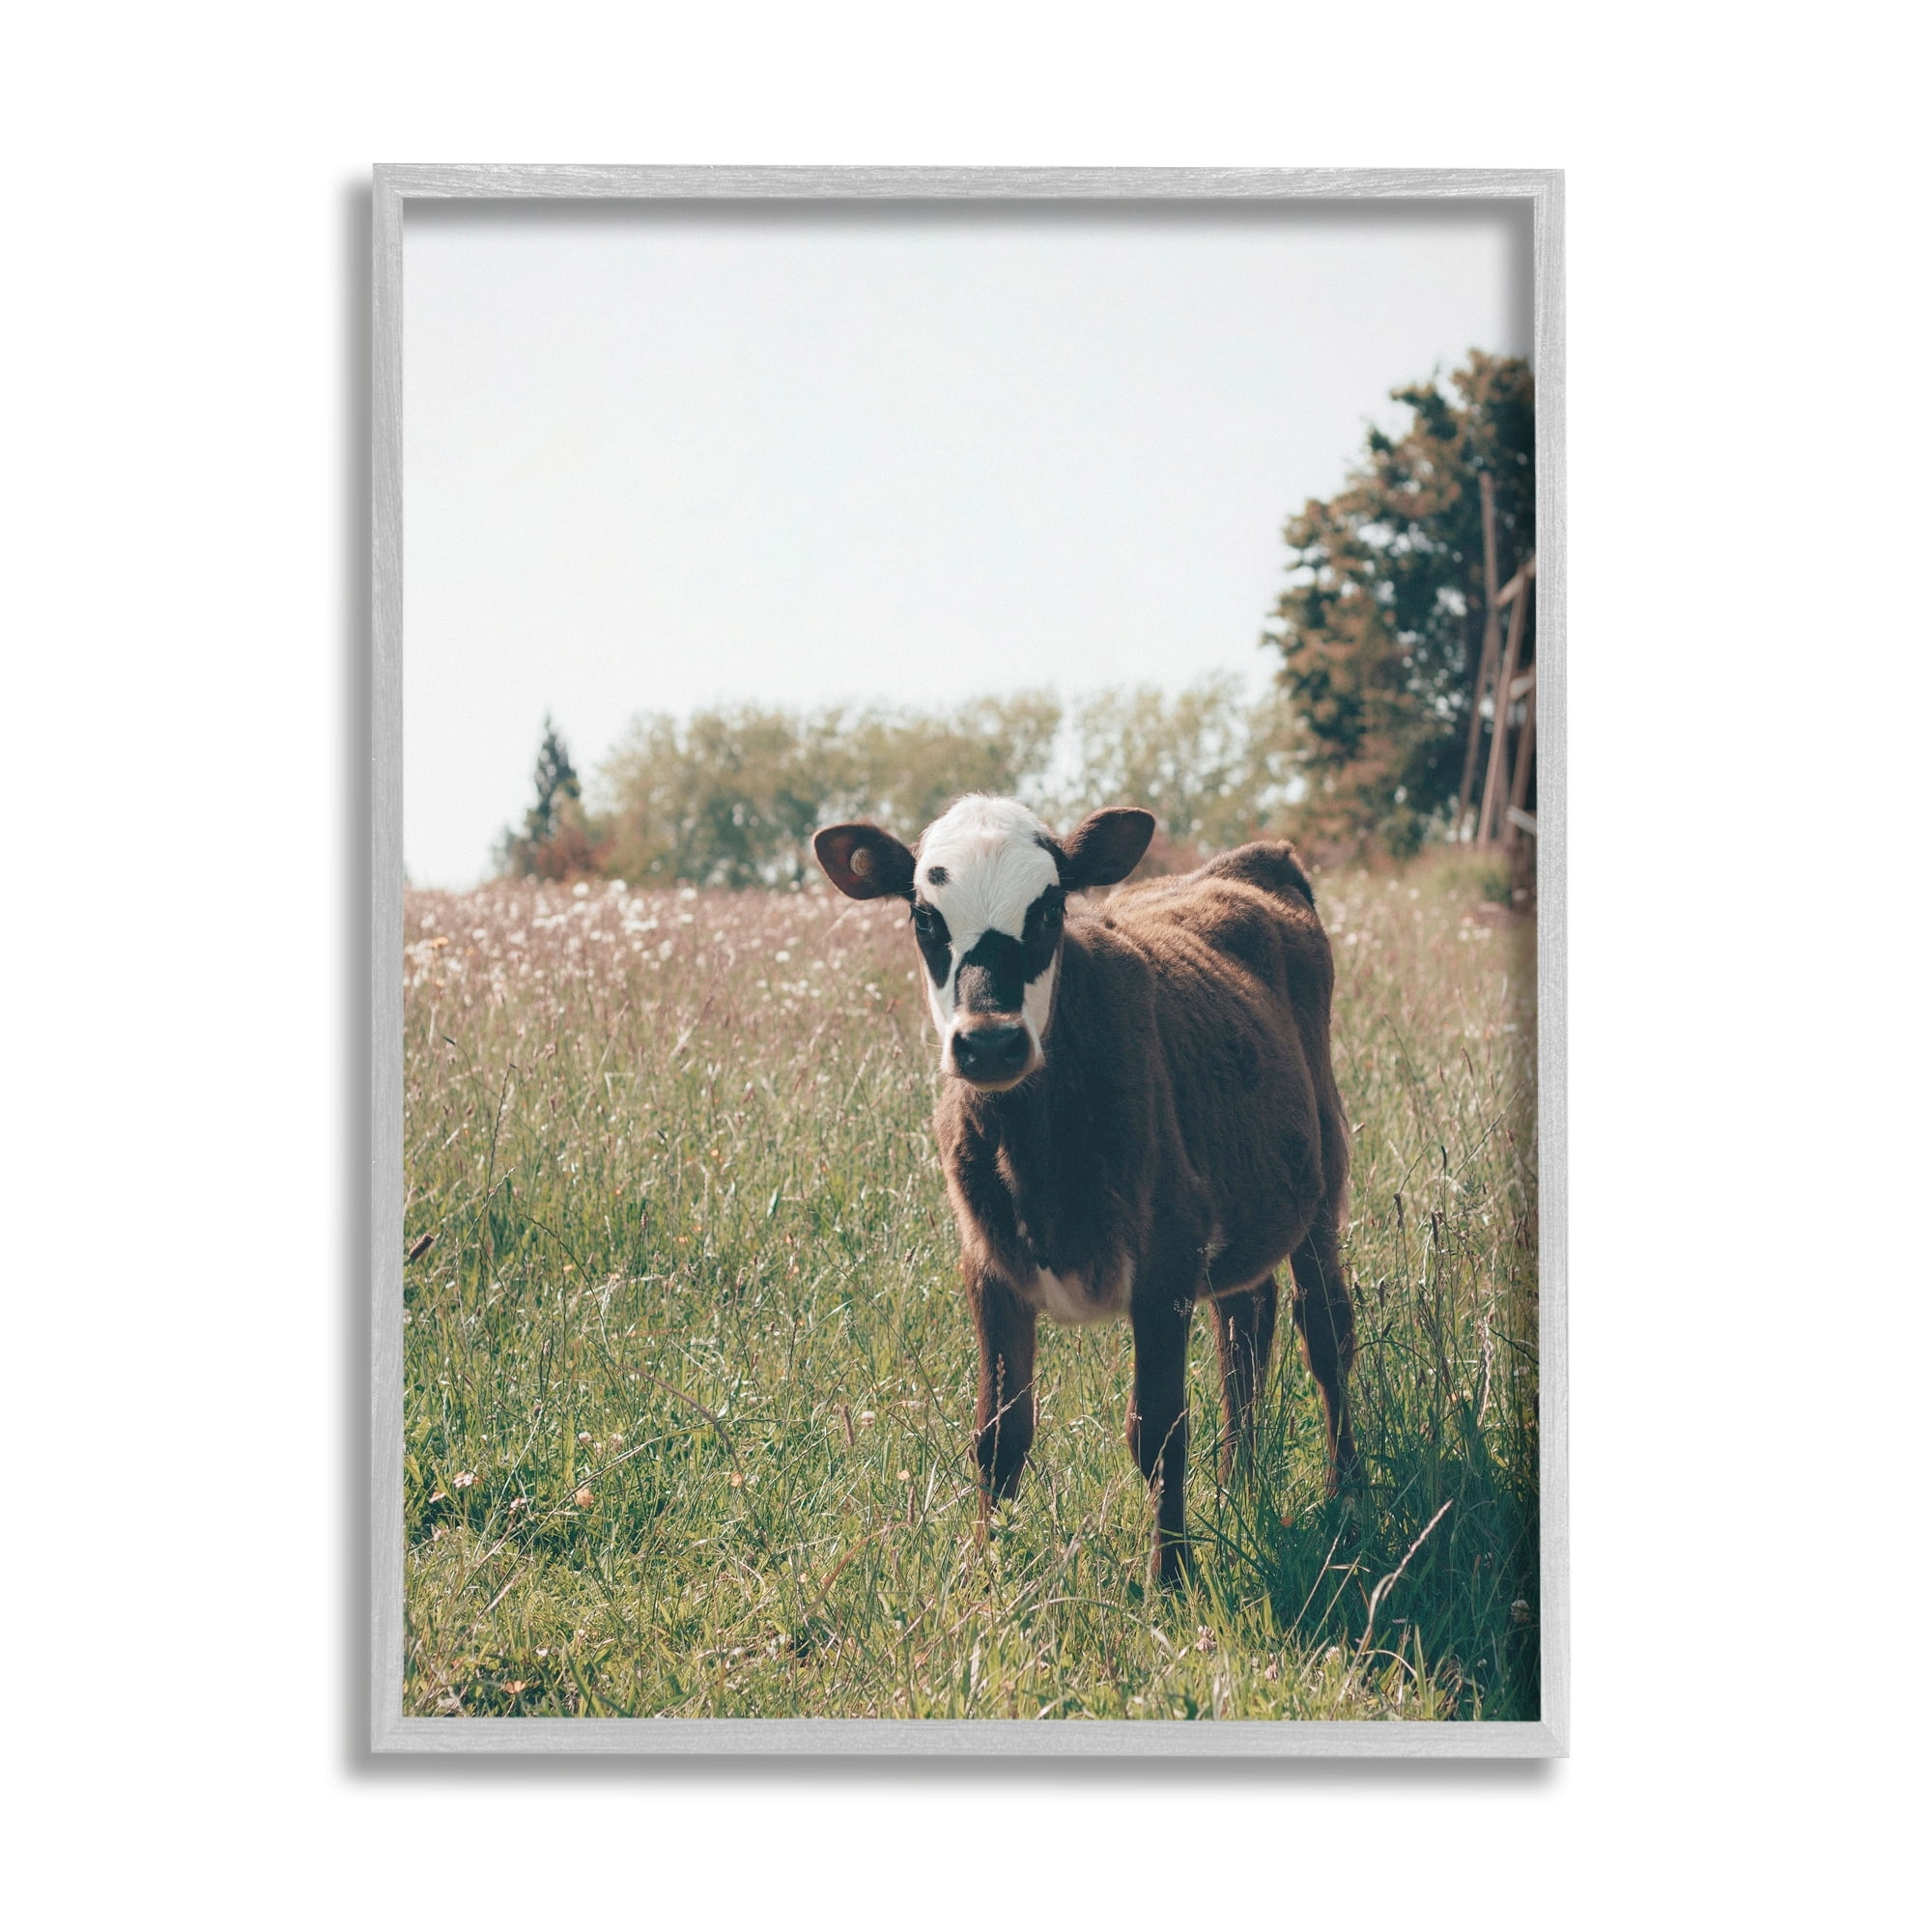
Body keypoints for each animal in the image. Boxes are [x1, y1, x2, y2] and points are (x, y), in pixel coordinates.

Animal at [813, 794, 1356, 1586]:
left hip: (1323, 1184)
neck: (1035, 1151)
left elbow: (1157, 1430)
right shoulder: (988, 1266)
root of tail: (1249, 862)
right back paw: (1238, 1485)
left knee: (1324, 1330)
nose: (989, 1043)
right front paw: (989, 1572)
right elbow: (998, 1435)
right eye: (924, 917)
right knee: (1245, 1327)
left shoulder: (1166, 1258)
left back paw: (1347, 1491)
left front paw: (1170, 1579)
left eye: (1048, 910)